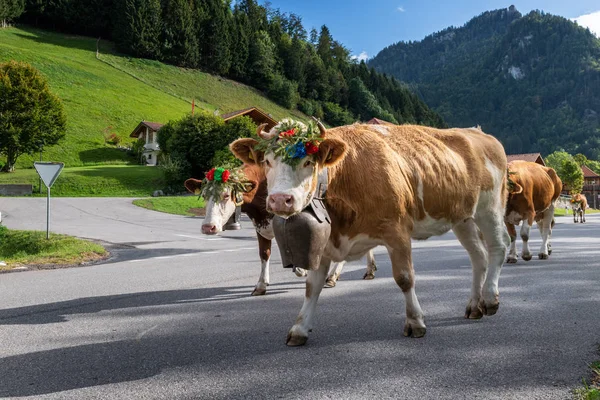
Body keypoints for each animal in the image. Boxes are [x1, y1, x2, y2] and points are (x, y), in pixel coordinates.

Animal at [230, 117, 510, 346]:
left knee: (499, 247)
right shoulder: (327, 242)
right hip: (462, 218)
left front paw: (415, 322)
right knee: (478, 256)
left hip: (490, 207)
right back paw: (474, 305)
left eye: (308, 161)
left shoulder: (397, 231)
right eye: (267, 161)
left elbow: (405, 278)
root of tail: (478, 132)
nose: (280, 199)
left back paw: (490, 299)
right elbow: (312, 286)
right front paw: (299, 328)